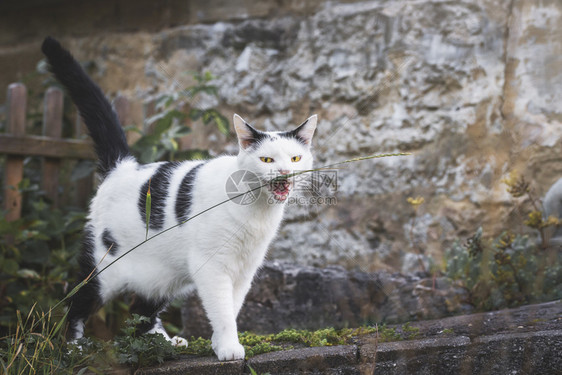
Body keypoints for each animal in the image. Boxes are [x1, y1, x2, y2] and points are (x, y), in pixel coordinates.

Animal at [42, 37, 316, 362]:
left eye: (296, 158)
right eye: (266, 159)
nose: (284, 172)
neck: (257, 211)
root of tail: (122, 166)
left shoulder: (245, 270)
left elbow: (232, 307)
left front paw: (219, 343)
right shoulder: (212, 267)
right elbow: (222, 309)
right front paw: (229, 348)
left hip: (162, 275)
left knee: (140, 313)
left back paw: (162, 343)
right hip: (104, 266)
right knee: (76, 301)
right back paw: (73, 347)